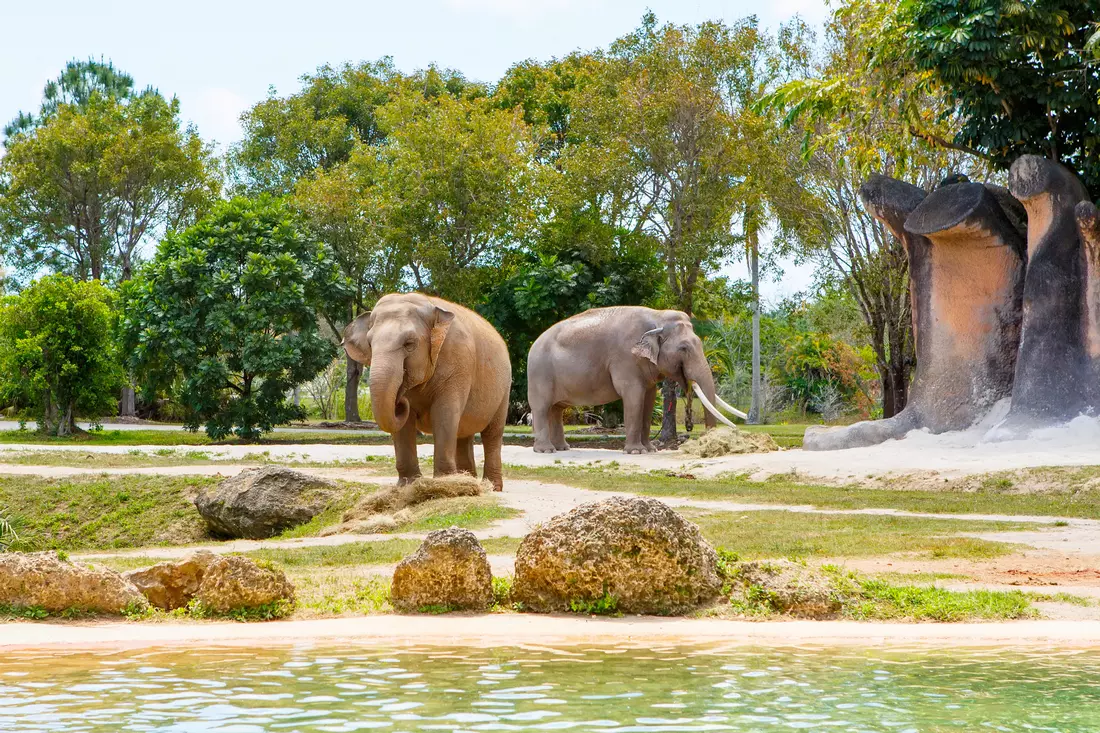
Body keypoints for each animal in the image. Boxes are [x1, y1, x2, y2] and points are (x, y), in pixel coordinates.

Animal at [341, 292, 512, 490]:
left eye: (409, 343)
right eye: (369, 344)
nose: (400, 402)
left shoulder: (458, 363)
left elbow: (444, 414)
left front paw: (444, 484)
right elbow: (405, 424)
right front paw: (408, 484)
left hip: (504, 388)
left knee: (492, 434)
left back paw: (491, 487)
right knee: (464, 434)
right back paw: (468, 481)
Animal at [525, 301, 748, 451]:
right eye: (684, 348)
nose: (707, 443)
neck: (657, 317)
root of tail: (533, 343)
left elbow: (648, 400)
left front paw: (650, 450)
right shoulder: (625, 359)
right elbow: (634, 397)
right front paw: (636, 451)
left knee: (557, 409)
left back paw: (562, 449)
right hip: (539, 373)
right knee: (542, 408)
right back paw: (546, 450)